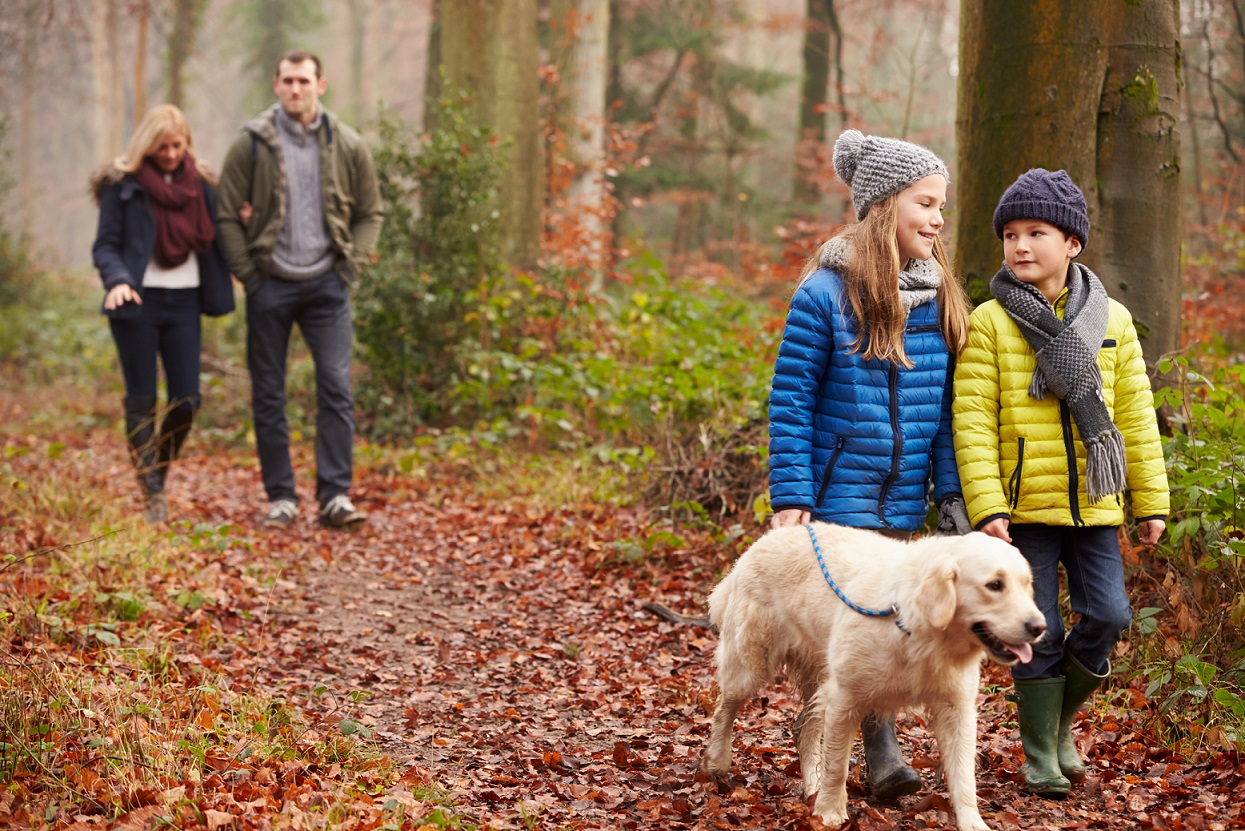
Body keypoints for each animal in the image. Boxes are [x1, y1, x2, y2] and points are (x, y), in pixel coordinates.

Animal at [707, 525, 1045, 831]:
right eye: (995, 585)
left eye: (1026, 584)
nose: (1039, 626)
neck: (916, 626)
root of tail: (763, 540)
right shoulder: (844, 697)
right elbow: (837, 766)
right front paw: (830, 813)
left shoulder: (957, 708)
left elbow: (963, 775)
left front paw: (972, 822)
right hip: (752, 665)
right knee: (724, 709)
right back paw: (714, 762)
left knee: (804, 728)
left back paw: (811, 786)